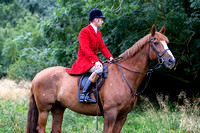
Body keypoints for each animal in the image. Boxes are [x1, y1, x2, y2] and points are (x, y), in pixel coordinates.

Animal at [26, 24, 175, 132]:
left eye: (167, 42)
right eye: (156, 43)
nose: (171, 61)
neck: (124, 76)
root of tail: (37, 76)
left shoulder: (122, 116)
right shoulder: (110, 114)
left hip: (58, 108)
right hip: (44, 109)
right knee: (40, 128)